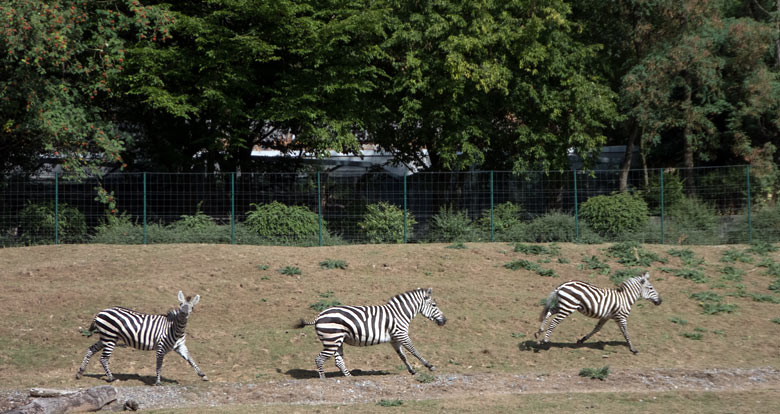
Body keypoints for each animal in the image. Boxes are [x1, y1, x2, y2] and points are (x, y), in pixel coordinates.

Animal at [75, 292, 209, 384]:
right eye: (181, 305)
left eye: (192, 307)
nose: (183, 314)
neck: (175, 329)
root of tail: (100, 312)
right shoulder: (160, 347)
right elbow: (159, 365)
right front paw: (158, 382)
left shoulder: (180, 346)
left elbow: (190, 360)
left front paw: (202, 375)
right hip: (110, 338)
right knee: (103, 359)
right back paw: (111, 378)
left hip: (105, 337)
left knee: (91, 349)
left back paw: (80, 372)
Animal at [296, 288, 448, 378]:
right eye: (434, 305)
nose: (445, 320)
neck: (400, 313)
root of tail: (318, 316)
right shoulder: (401, 334)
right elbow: (414, 351)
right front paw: (430, 366)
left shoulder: (395, 339)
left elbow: (403, 356)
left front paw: (412, 370)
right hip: (331, 340)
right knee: (319, 359)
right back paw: (324, 379)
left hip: (337, 340)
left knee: (338, 361)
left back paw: (350, 378)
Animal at [536, 272, 664, 352]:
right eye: (651, 288)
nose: (660, 301)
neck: (625, 298)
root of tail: (562, 285)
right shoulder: (621, 317)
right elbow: (626, 333)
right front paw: (633, 349)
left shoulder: (606, 316)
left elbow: (597, 328)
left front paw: (582, 340)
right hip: (567, 307)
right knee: (554, 322)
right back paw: (545, 341)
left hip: (562, 305)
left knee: (548, 313)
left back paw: (539, 332)